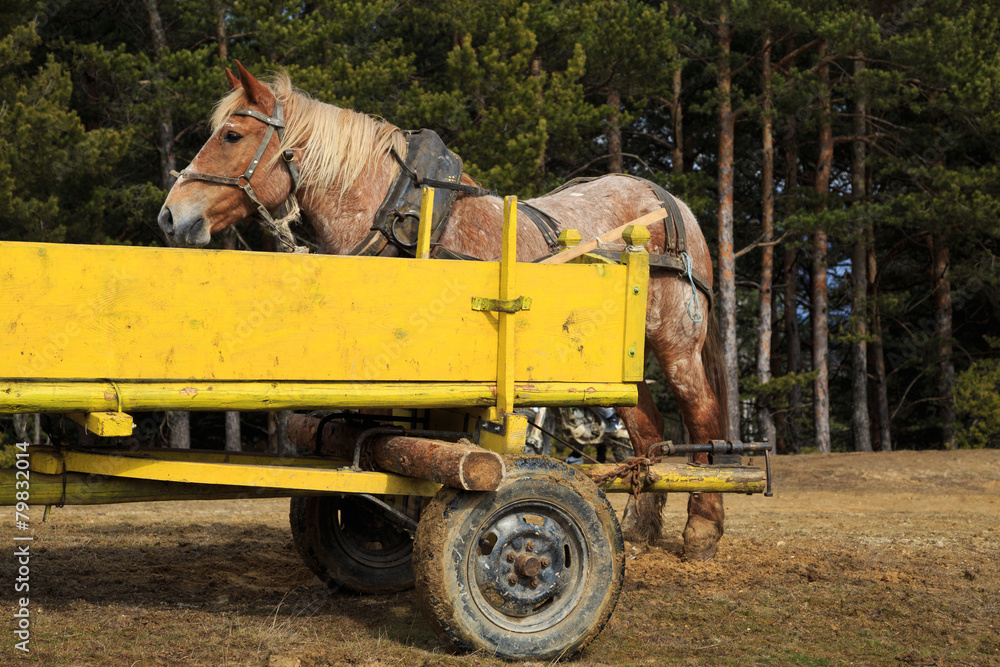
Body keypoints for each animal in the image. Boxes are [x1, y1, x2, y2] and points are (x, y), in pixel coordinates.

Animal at [157, 62, 729, 561]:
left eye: (231, 136)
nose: (170, 216)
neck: (402, 217)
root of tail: (667, 199)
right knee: (646, 426)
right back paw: (640, 526)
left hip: (677, 341)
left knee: (700, 412)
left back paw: (703, 525)